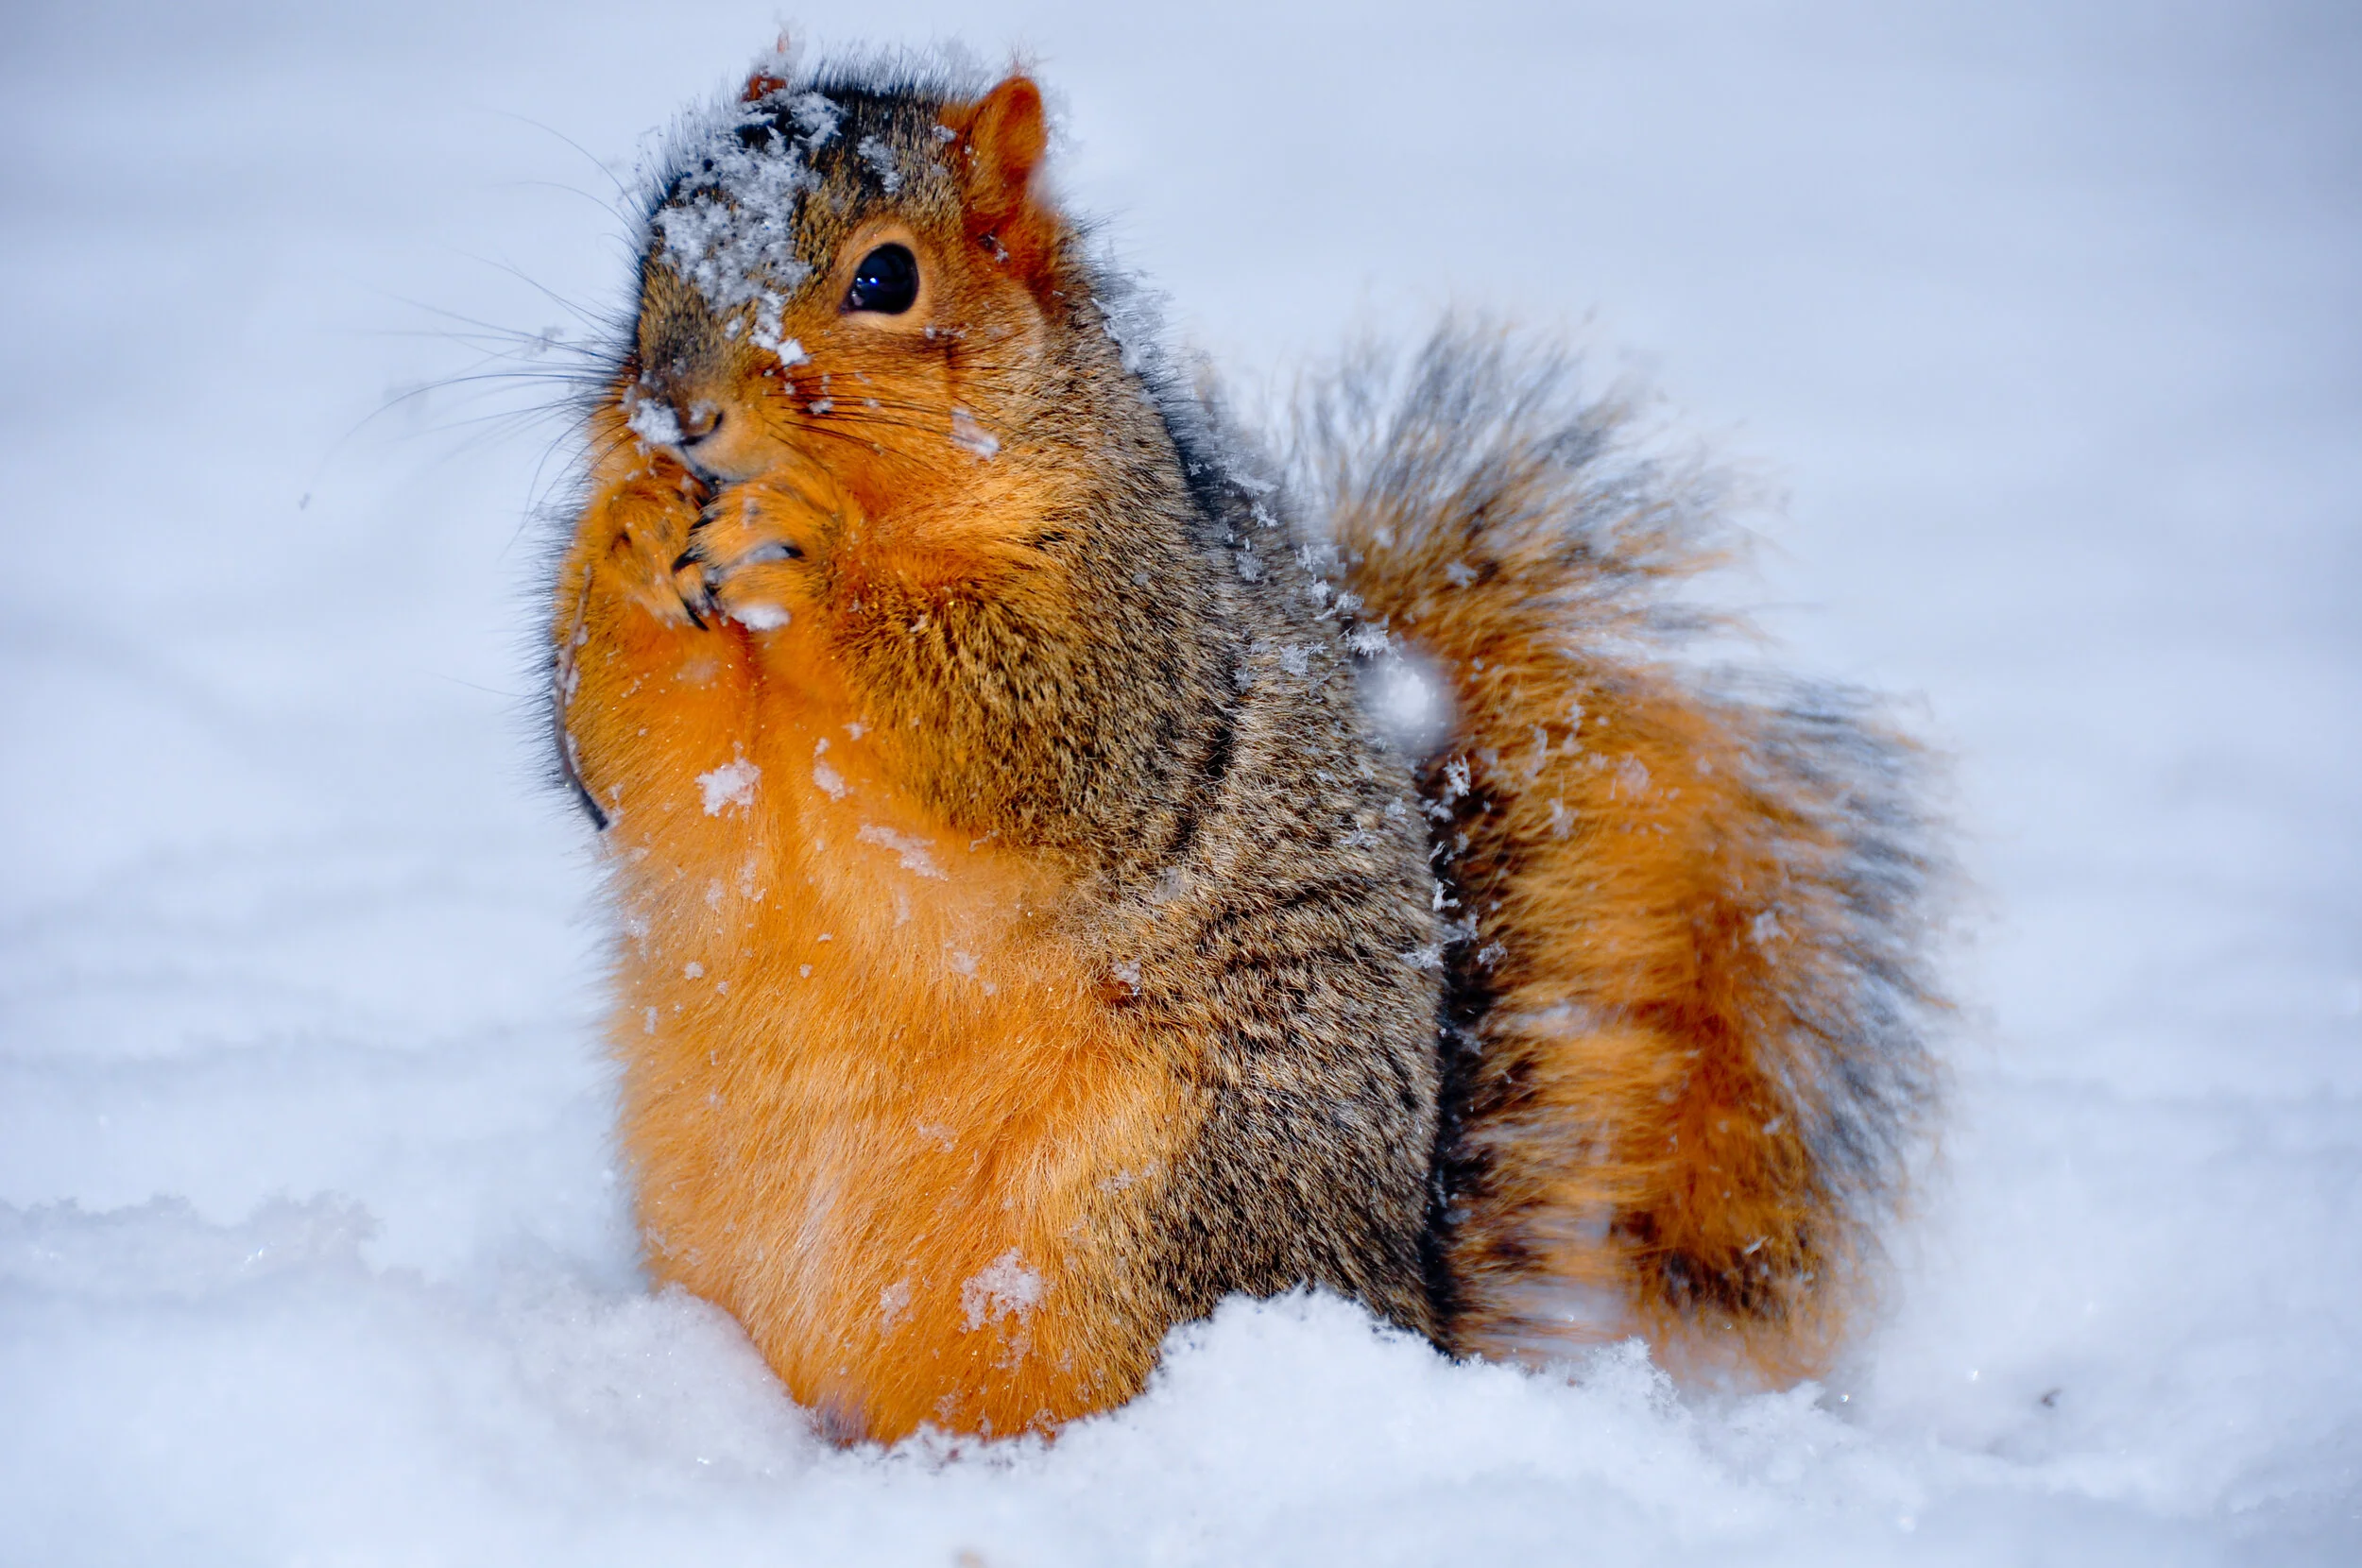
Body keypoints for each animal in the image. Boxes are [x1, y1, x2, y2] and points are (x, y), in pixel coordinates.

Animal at [547, 51, 1945, 1445]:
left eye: (887, 279)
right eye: (654, 244)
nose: (675, 412)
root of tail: (1408, 1310)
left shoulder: (1138, 619)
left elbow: (1058, 737)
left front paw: (805, 544)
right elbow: (625, 767)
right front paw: (629, 532)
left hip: (1156, 1205)